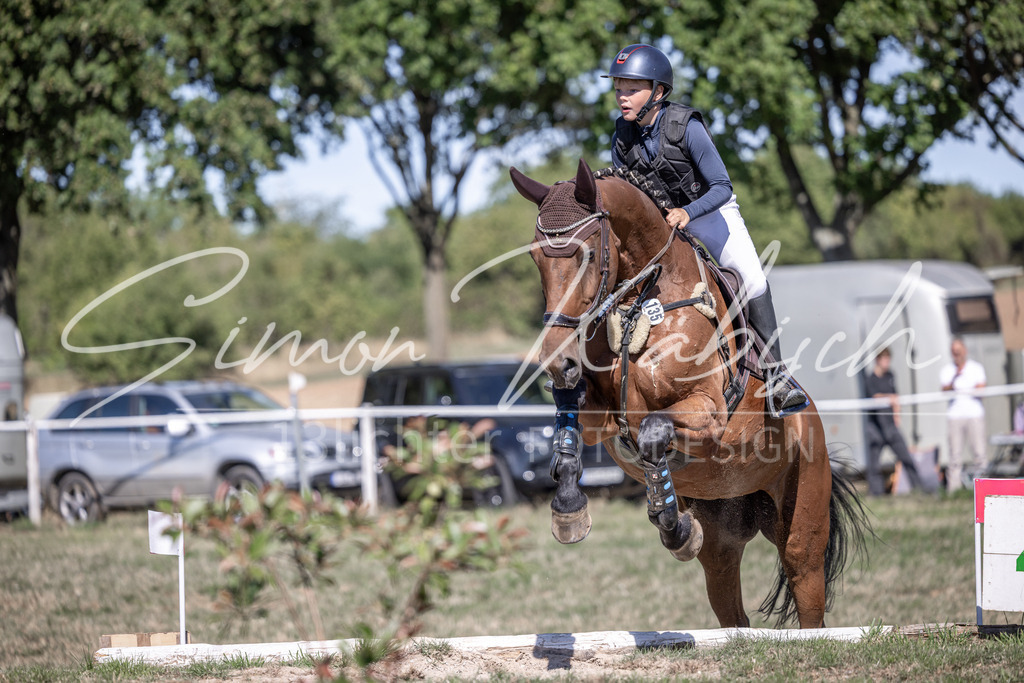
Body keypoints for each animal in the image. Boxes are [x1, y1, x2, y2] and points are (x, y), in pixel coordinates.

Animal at [510, 158, 867, 629]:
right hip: (722, 544)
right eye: (535, 256)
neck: (643, 303)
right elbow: (567, 433)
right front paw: (569, 508)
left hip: (802, 527)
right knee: (732, 609)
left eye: (586, 254)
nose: (556, 361)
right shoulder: (601, 421)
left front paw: (675, 526)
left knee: (808, 595)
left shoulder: (707, 411)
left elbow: (654, 431)